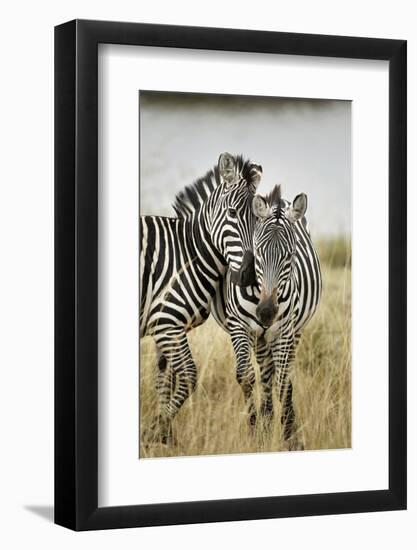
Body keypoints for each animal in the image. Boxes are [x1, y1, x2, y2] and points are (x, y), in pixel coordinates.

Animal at [141, 152, 262, 444]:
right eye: (232, 213)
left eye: (258, 218)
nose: (249, 275)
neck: (188, 252)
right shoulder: (167, 324)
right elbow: (187, 377)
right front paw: (156, 432)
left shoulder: (165, 326)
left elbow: (165, 378)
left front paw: (164, 436)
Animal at [211, 184, 322, 448]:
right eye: (258, 253)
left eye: (290, 255)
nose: (266, 312)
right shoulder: (239, 326)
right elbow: (246, 377)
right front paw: (255, 433)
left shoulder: (284, 330)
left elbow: (283, 382)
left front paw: (290, 437)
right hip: (260, 337)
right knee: (265, 374)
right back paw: (267, 420)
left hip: (293, 332)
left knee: (280, 375)